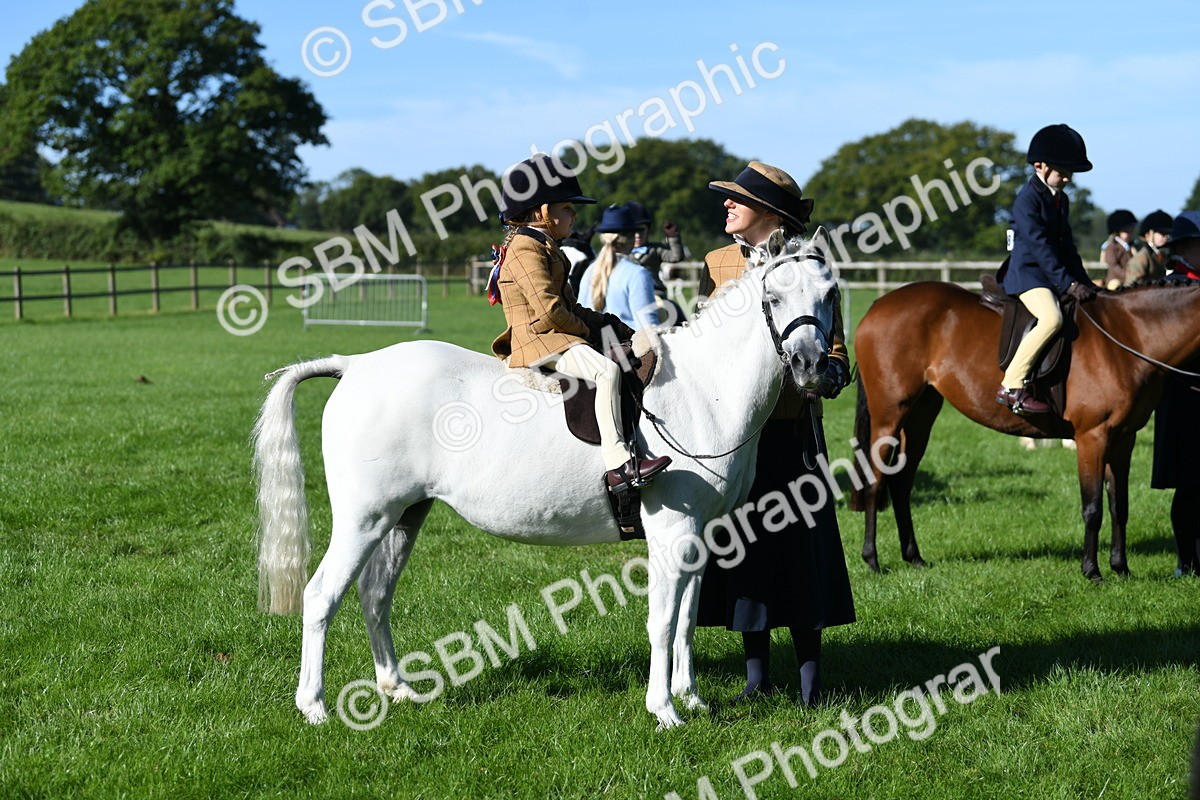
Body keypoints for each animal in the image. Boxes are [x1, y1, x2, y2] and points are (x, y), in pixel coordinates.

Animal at [252, 232, 839, 729]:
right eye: (775, 296)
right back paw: (314, 707)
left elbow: (688, 618)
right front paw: (665, 711)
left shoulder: (701, 535)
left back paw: (397, 689)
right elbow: (663, 621)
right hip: (364, 520)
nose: (813, 368)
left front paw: (691, 698)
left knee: (375, 595)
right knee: (321, 596)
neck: (701, 388)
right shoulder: (672, 534)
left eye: (831, 294)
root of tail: (355, 366)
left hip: (403, 517)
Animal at [848, 279, 1200, 582]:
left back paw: (914, 558)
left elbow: (1119, 506)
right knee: (874, 481)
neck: (1128, 334)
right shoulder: (1093, 438)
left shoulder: (1124, 439)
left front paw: (1121, 568)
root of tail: (880, 304)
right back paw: (872, 560)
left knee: (901, 484)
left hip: (920, 417)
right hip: (889, 416)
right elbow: (1093, 508)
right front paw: (1092, 571)